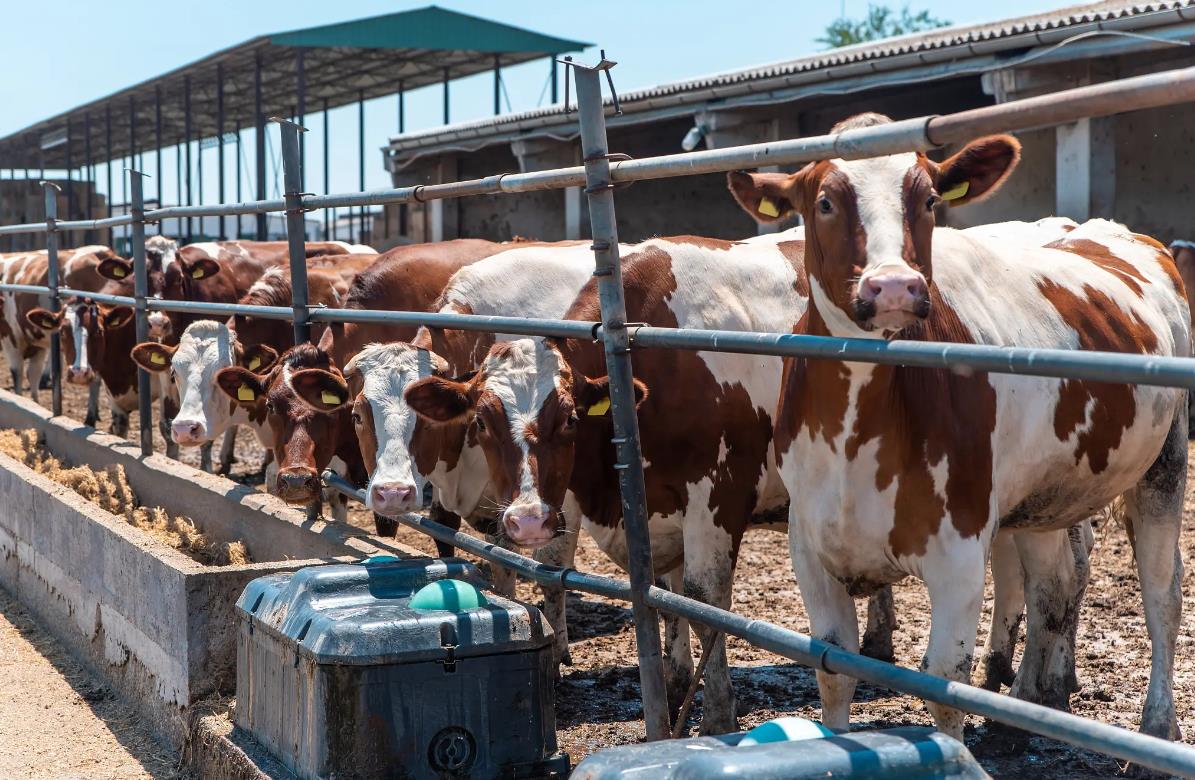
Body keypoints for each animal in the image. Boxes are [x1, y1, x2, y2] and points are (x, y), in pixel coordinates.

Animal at [721, 112, 1190, 740]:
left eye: (928, 199)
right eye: (824, 201)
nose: (894, 287)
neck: (855, 432)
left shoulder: (960, 550)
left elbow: (944, 681)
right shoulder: (810, 545)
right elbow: (834, 667)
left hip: (1166, 461)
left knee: (1161, 591)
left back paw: (1157, 721)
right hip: (1045, 495)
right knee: (1054, 584)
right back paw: (1031, 699)